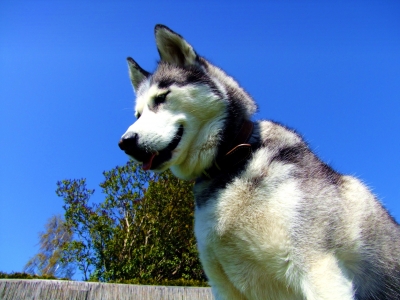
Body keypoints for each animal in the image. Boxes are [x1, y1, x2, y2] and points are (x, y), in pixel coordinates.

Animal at [119, 24, 400, 298]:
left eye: (161, 97)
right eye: (138, 114)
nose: (125, 142)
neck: (231, 164)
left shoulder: (318, 268)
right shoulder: (224, 287)